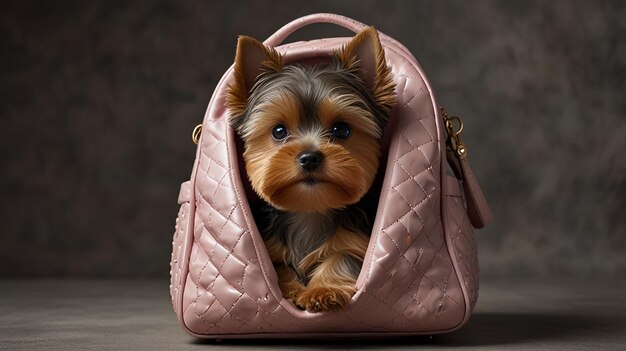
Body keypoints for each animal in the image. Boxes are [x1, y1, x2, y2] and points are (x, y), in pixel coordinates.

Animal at [225, 28, 394, 314]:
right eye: (279, 131)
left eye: (341, 130)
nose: (310, 158)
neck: (309, 210)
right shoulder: (270, 246)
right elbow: (279, 268)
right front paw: (291, 291)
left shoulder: (354, 241)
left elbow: (341, 258)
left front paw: (323, 291)